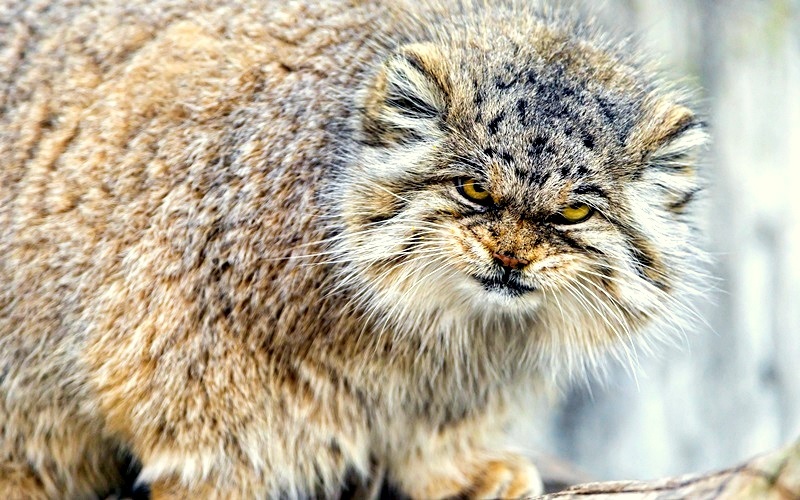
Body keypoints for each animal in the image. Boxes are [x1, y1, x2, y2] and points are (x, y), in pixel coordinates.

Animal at [1, 0, 708, 496]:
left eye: (573, 211)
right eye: (474, 189)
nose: (510, 257)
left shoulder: (458, 385)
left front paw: (455, 470)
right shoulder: (179, 341)